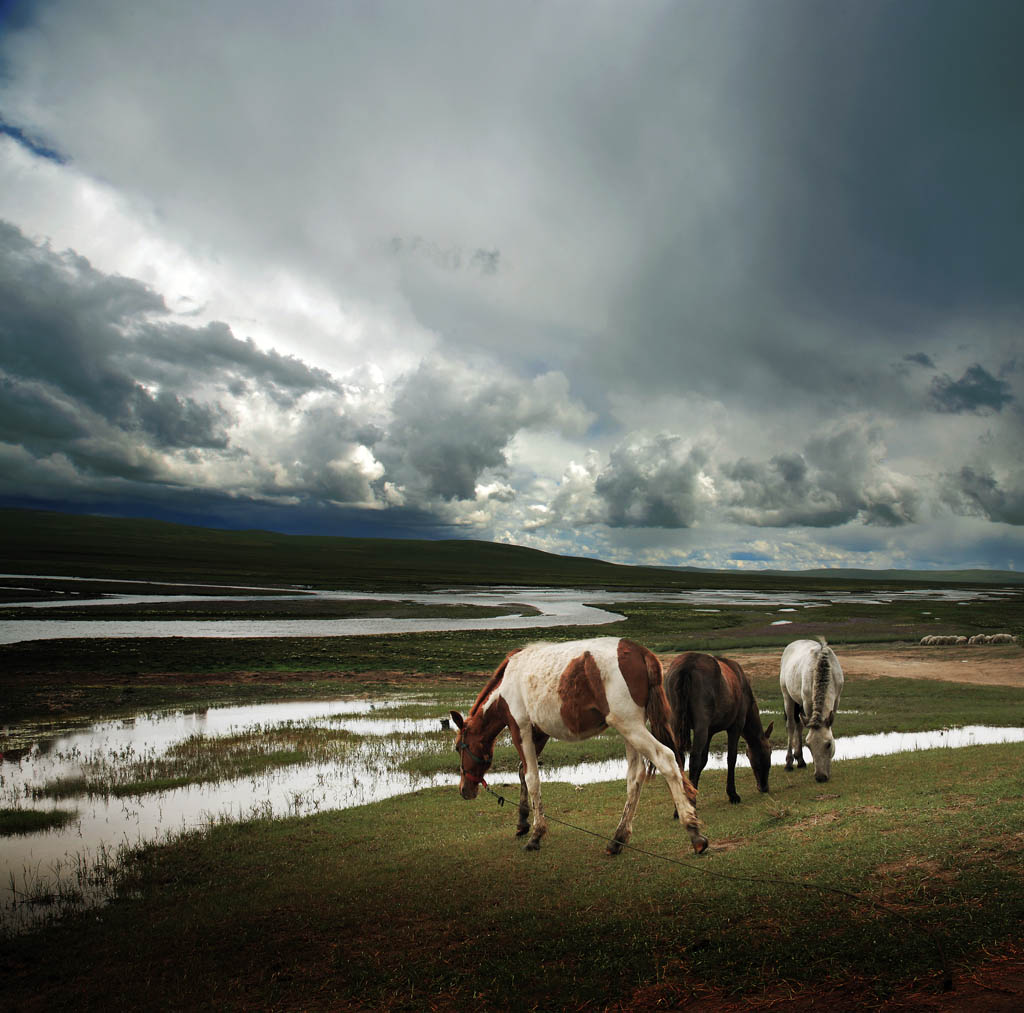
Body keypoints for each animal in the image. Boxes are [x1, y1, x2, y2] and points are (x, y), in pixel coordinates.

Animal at [452, 639, 708, 852]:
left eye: (457, 748)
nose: (464, 790)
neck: (508, 682)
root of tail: (640, 652)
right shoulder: (539, 733)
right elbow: (522, 773)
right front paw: (523, 822)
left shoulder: (520, 728)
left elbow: (532, 778)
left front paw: (536, 834)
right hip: (631, 729)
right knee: (636, 776)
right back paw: (617, 839)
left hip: (630, 726)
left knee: (666, 759)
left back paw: (693, 832)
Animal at [667, 651, 770, 803]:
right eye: (767, 755)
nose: (764, 787)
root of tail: (687, 665)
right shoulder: (735, 726)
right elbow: (731, 758)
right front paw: (732, 794)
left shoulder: (709, 732)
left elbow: (704, 760)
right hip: (701, 727)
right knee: (694, 759)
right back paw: (691, 801)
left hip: (677, 723)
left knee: (679, 757)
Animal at [778, 630, 843, 782]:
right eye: (809, 745)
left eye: (828, 744)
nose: (820, 777)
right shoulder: (807, 702)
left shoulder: (836, 700)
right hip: (788, 696)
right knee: (791, 725)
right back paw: (790, 762)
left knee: (799, 724)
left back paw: (800, 760)